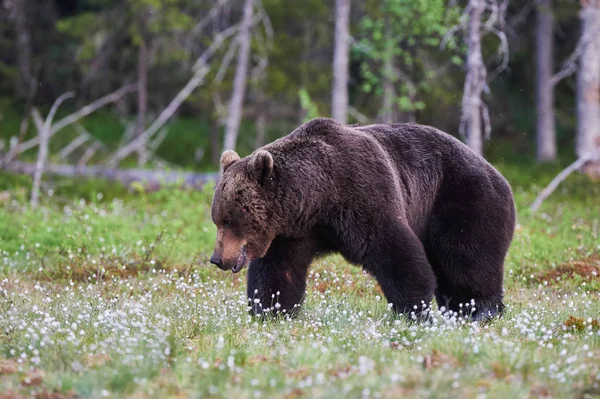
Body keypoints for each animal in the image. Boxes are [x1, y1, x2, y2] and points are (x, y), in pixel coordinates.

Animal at [210, 118, 516, 322]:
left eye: (229, 220)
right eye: (217, 219)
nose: (217, 258)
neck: (318, 197)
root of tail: (500, 174)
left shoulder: (362, 193)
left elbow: (396, 251)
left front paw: (413, 310)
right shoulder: (294, 231)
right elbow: (278, 270)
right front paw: (269, 311)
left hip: (462, 199)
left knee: (466, 258)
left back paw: (481, 311)